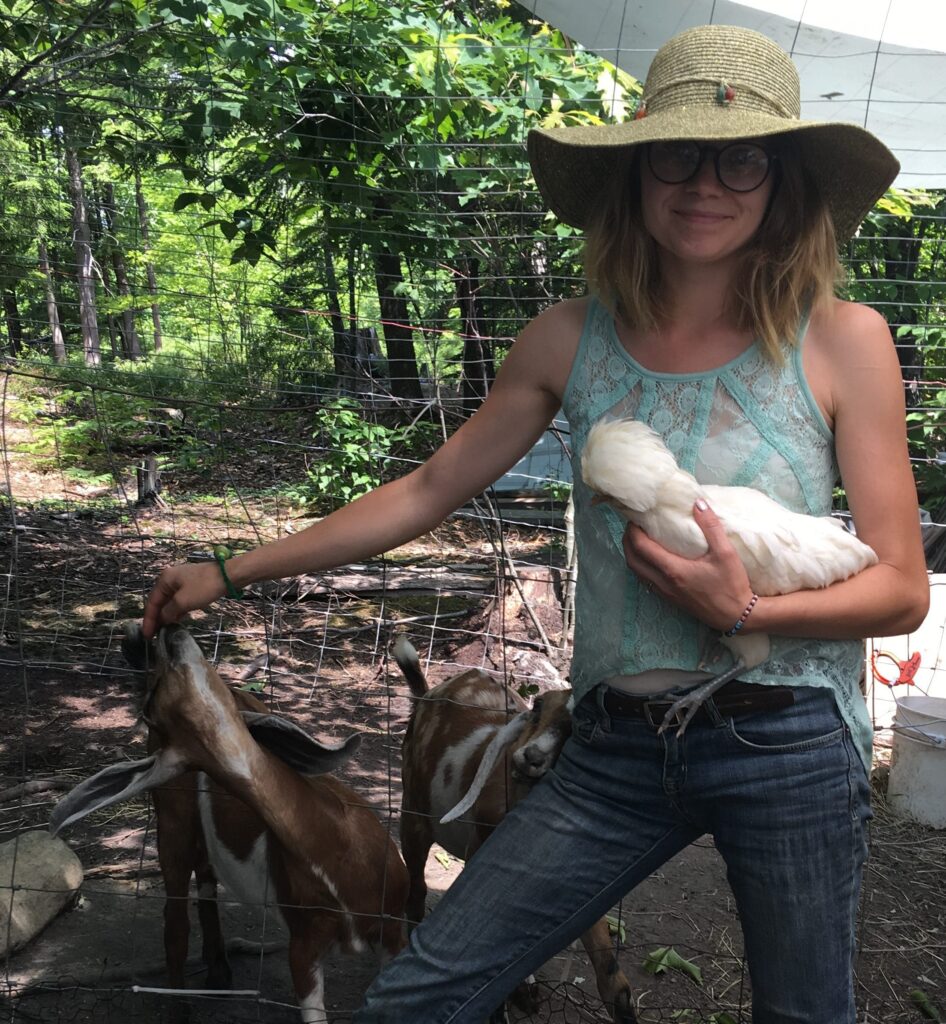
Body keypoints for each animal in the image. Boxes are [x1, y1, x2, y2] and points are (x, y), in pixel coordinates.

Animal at [50, 623, 408, 1024]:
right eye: (150, 707)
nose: (168, 635)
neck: (339, 855)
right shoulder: (303, 945)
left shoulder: (394, 927)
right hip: (172, 819)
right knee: (176, 917)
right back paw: (182, 1006)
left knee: (206, 879)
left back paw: (219, 968)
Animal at [395, 637, 636, 1024]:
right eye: (537, 706)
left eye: (580, 731)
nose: (530, 757)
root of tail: (428, 695)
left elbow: (605, 958)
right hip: (414, 815)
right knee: (416, 889)